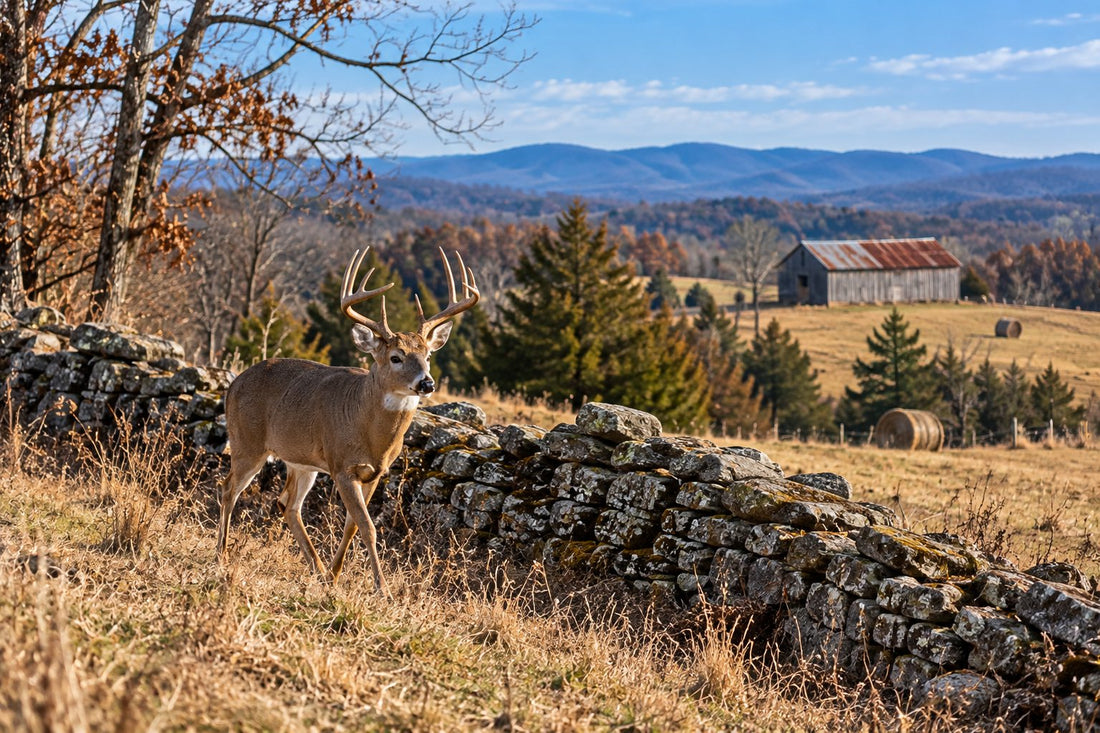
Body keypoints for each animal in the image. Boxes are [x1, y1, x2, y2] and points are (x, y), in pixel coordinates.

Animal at [215, 247, 479, 595]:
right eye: (396, 357)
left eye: (427, 356)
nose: (427, 383)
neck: (369, 433)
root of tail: (232, 385)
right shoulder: (342, 466)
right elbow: (367, 527)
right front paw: (382, 589)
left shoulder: (376, 472)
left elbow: (353, 525)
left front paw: (334, 575)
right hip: (248, 441)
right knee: (229, 488)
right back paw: (221, 555)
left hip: (302, 461)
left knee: (288, 504)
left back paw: (316, 568)